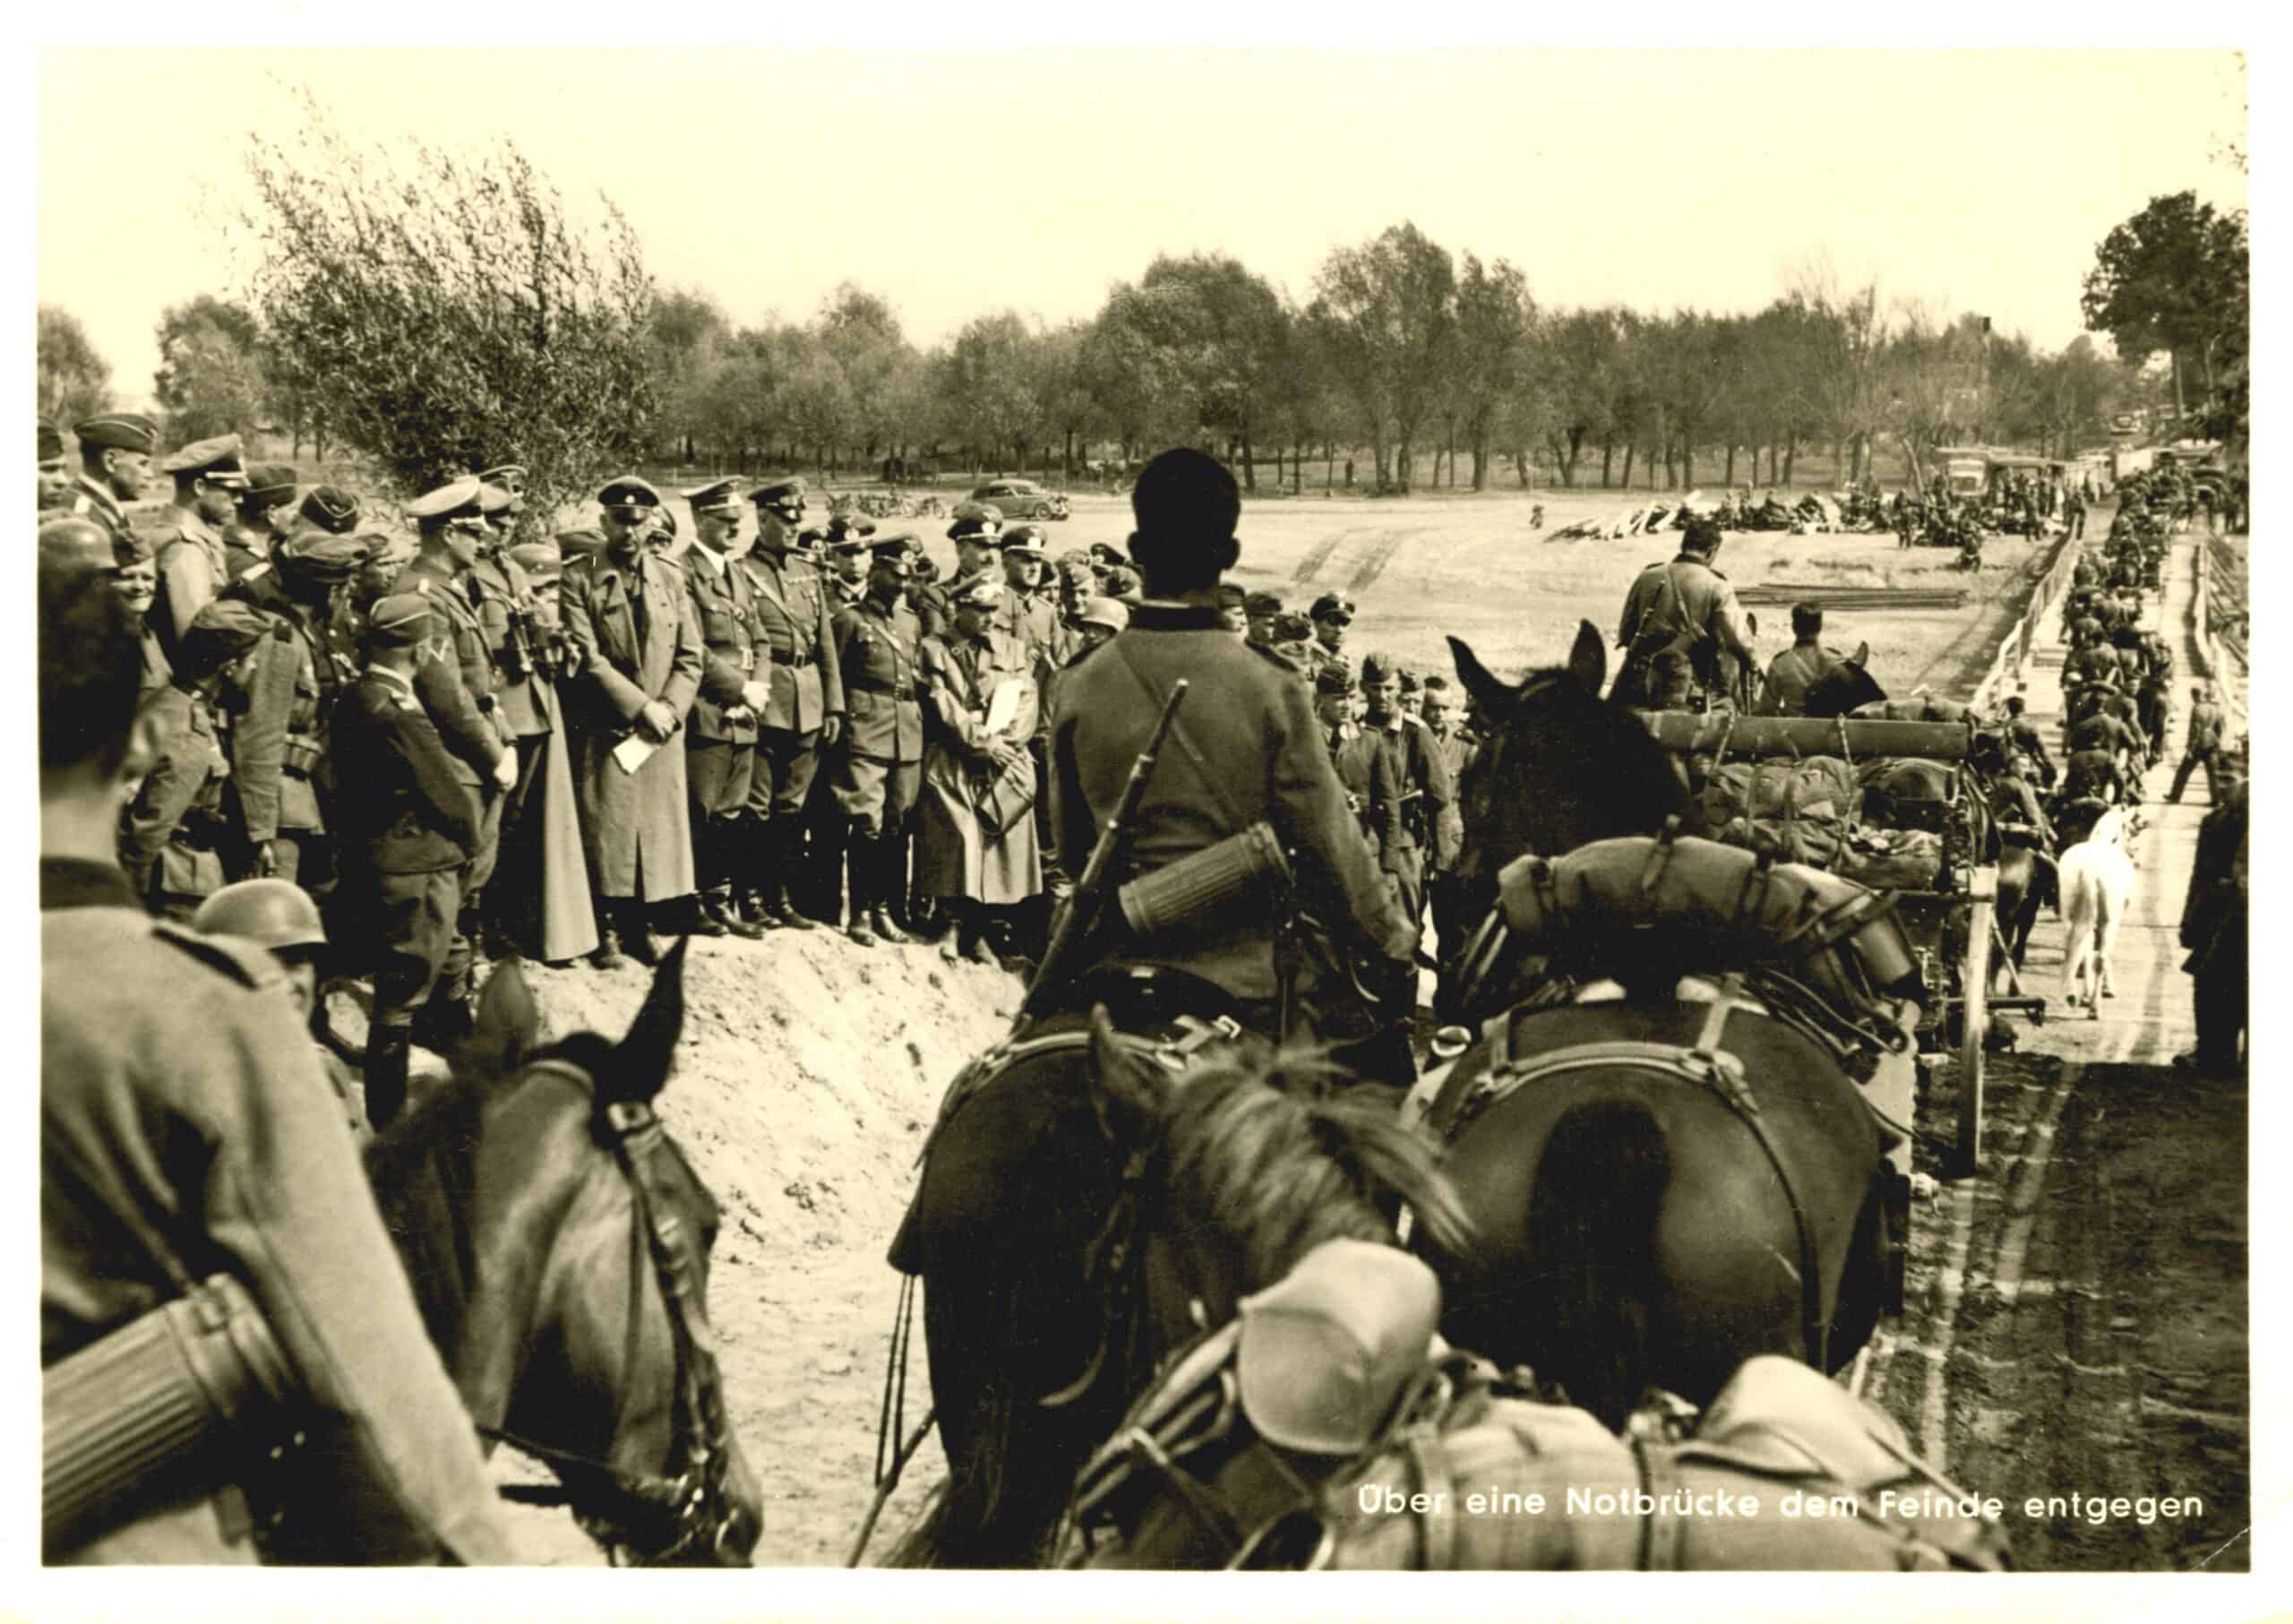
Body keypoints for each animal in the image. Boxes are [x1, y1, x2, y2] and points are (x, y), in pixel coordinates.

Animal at [2054, 807, 2136, 1023]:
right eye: (2129, 830)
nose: (2133, 851)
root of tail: (2090, 870)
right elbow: (2103, 955)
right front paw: (2108, 989)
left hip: (2069, 916)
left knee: (2077, 951)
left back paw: (2077, 996)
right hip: (2108, 921)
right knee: (2100, 958)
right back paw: (2094, 1008)